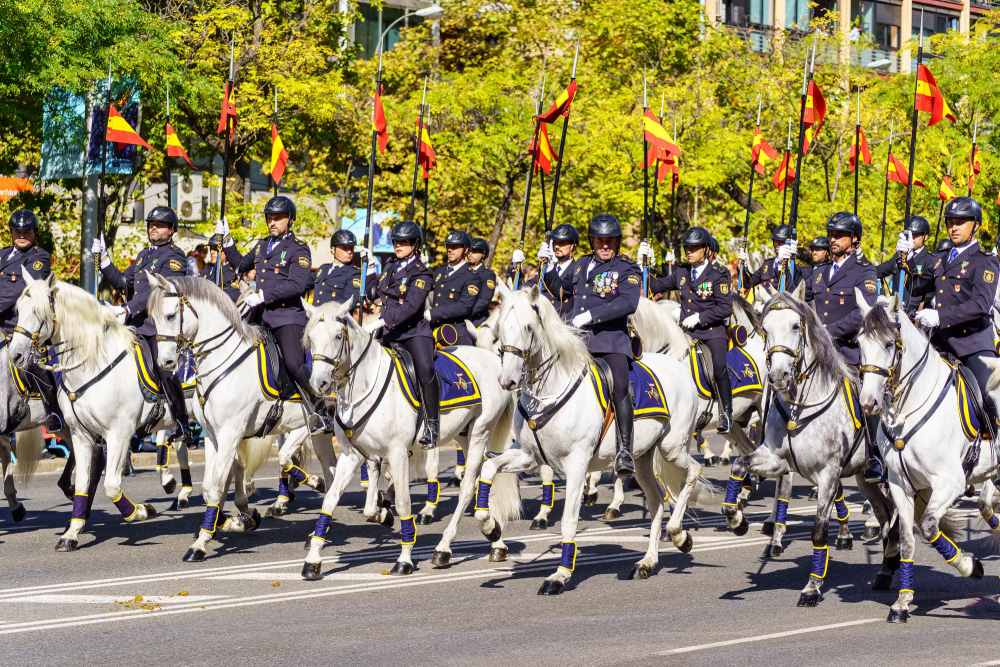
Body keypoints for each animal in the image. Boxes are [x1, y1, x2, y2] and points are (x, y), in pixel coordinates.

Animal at [482, 288, 704, 596]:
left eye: (528, 327)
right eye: (500, 329)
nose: (507, 380)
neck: (549, 391)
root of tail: (678, 366)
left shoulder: (577, 464)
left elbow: (568, 521)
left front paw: (559, 576)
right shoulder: (527, 456)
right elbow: (488, 469)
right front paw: (490, 527)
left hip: (672, 448)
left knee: (693, 472)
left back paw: (678, 534)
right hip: (643, 459)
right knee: (657, 502)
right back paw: (647, 562)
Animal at [724, 284, 896, 608]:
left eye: (795, 326)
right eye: (764, 329)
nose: (778, 376)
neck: (799, 408)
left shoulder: (828, 474)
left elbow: (818, 532)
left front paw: (812, 588)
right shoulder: (777, 460)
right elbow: (740, 465)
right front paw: (737, 519)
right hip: (863, 478)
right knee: (886, 512)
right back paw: (886, 570)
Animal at [856, 290, 996, 624]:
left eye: (889, 344)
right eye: (859, 342)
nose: (868, 403)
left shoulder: (950, 482)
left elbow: (931, 526)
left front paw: (971, 567)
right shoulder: (900, 485)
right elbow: (907, 539)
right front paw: (903, 602)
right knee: (987, 505)